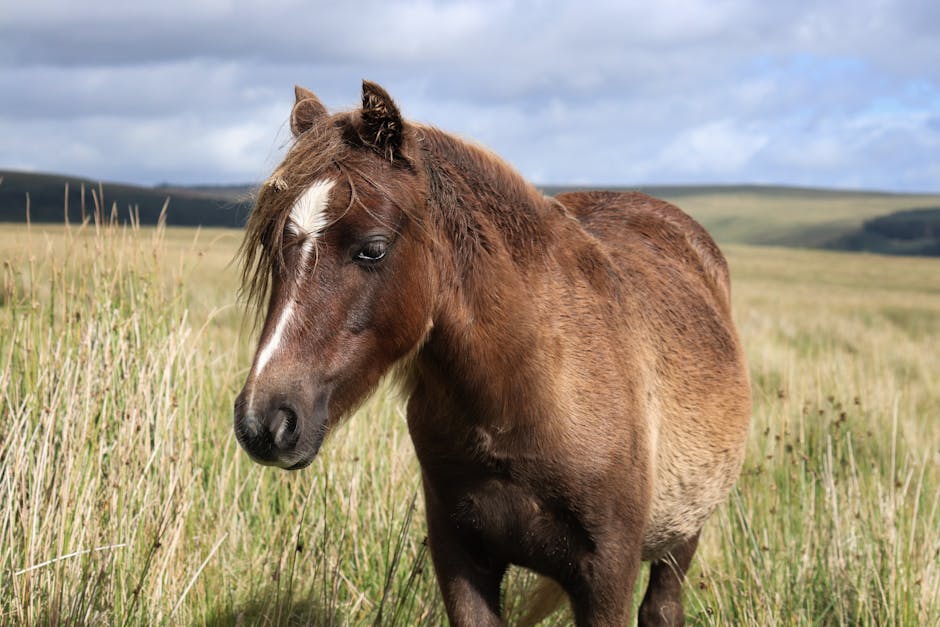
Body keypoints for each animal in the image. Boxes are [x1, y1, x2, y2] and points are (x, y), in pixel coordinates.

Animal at [233, 83, 748, 627]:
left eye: (372, 249)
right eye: (271, 245)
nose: (263, 423)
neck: (522, 391)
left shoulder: (607, 574)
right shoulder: (462, 564)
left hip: (682, 535)